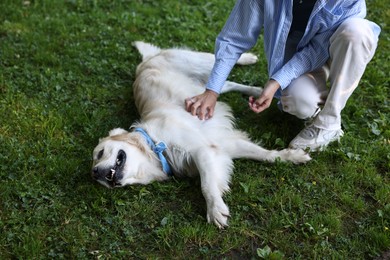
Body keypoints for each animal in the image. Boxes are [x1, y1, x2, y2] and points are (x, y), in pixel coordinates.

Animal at [91, 42, 310, 228]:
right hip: (207, 84)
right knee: (225, 83)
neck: (155, 145)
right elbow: (266, 155)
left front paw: (215, 209)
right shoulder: (222, 145)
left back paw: (249, 59)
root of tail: (147, 60)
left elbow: (206, 185)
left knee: (223, 58)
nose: (95, 173)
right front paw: (291, 157)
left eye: (100, 153)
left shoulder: (201, 150)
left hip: (199, 62)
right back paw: (258, 91)